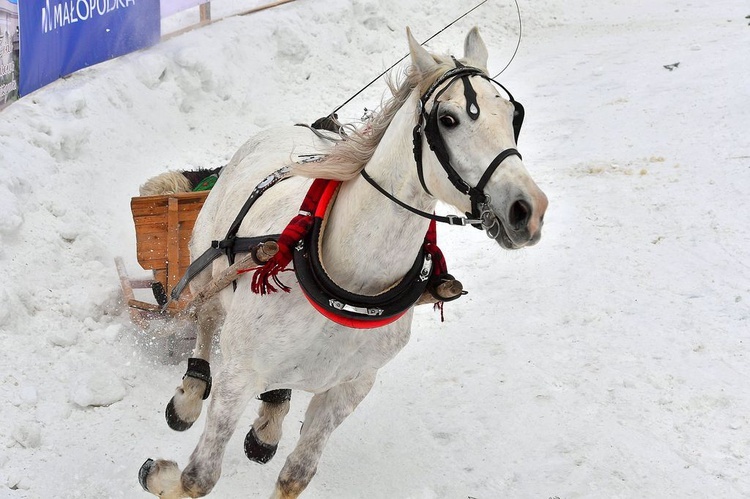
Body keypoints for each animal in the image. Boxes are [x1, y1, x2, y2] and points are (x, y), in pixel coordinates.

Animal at [140, 28, 548, 499]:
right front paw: (162, 474)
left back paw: (268, 424)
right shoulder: (238, 375)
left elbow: (296, 475)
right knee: (205, 319)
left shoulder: (349, 388)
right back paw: (189, 395)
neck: (350, 285)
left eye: (513, 116)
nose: (527, 209)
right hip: (208, 267)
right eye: (448, 119)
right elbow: (198, 477)